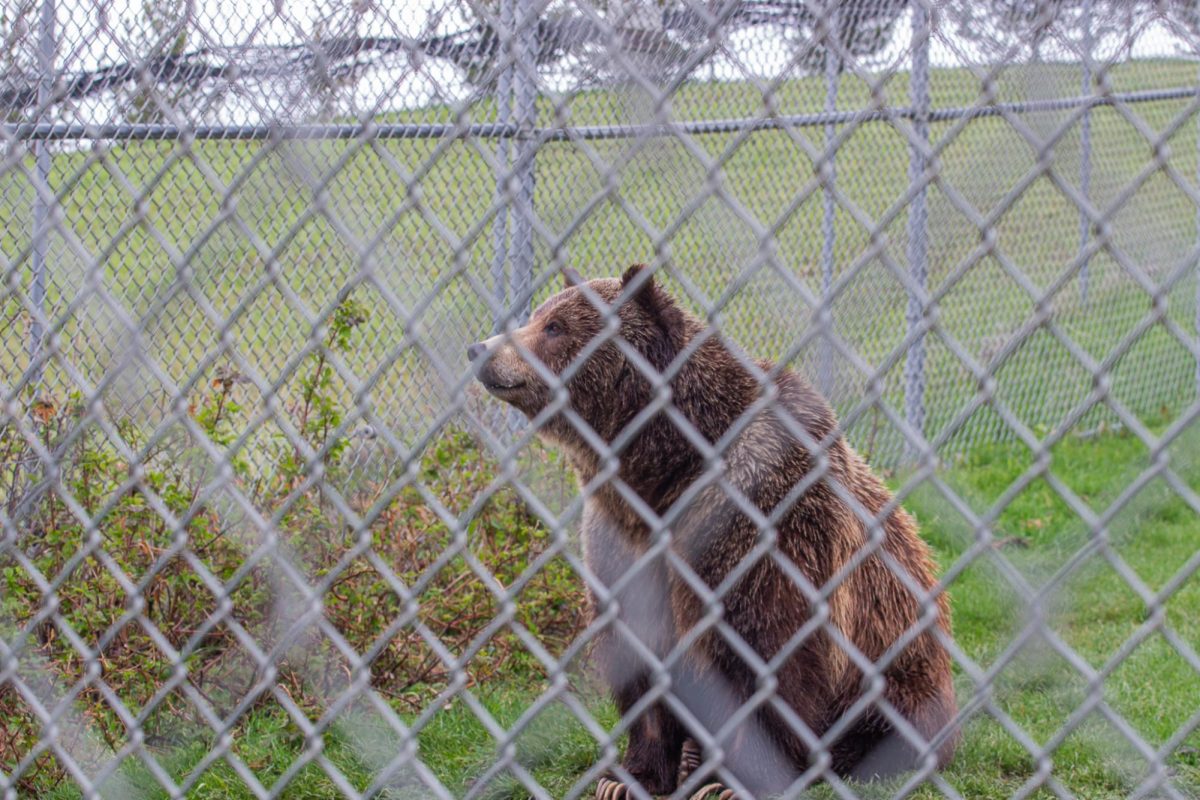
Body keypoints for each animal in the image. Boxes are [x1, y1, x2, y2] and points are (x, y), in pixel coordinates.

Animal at [467, 265, 958, 799]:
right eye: (538, 315)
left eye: (554, 327)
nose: (481, 349)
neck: (667, 470)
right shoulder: (621, 535)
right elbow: (641, 655)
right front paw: (628, 776)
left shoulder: (760, 517)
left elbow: (765, 653)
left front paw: (732, 781)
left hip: (898, 665)